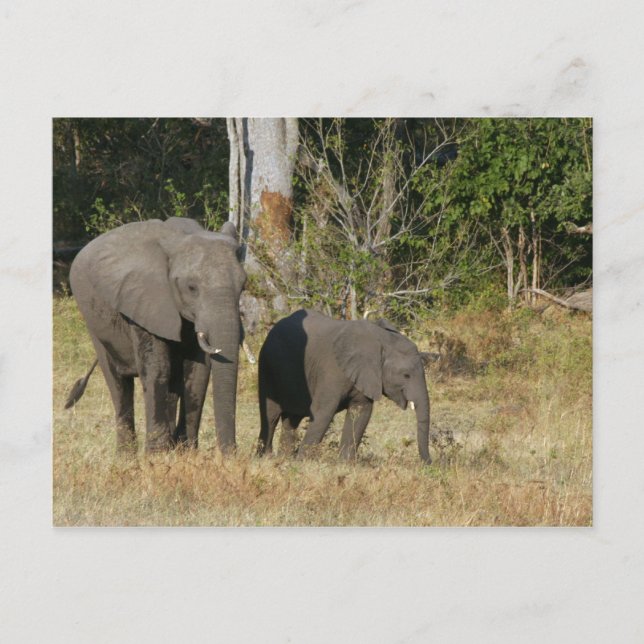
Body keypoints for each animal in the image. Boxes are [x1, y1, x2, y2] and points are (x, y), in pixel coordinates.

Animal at [66, 217, 246, 454]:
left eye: (243, 286)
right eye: (191, 288)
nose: (231, 455)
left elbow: (198, 372)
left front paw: (185, 453)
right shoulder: (145, 300)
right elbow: (157, 368)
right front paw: (157, 455)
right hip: (91, 316)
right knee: (118, 383)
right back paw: (127, 456)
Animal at [257, 309, 432, 463]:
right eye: (406, 375)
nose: (429, 463)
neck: (381, 340)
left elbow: (360, 412)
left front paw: (345, 464)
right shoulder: (332, 371)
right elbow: (323, 412)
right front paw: (302, 462)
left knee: (291, 420)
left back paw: (283, 459)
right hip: (267, 366)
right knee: (271, 415)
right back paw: (266, 457)